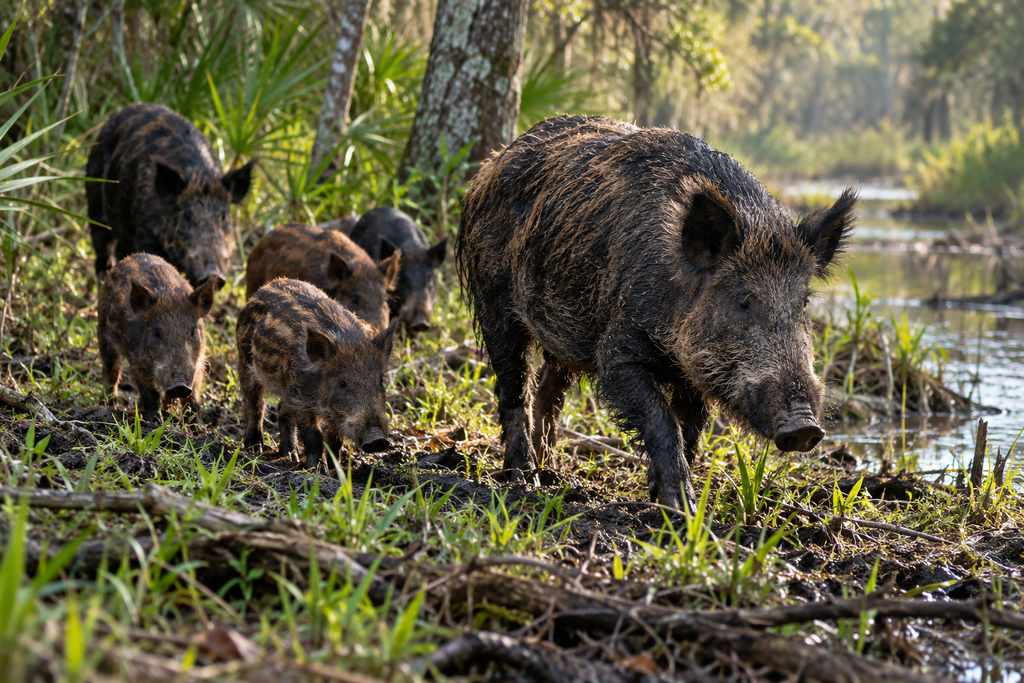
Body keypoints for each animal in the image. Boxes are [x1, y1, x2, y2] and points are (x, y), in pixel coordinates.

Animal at [86, 102, 256, 287]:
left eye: (223, 217)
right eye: (187, 215)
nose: (212, 274)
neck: (199, 176)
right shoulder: (145, 235)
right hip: (95, 207)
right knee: (102, 258)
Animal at [97, 253, 216, 425]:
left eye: (192, 333)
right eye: (156, 333)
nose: (179, 385)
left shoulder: (198, 363)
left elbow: (193, 398)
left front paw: (198, 427)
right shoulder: (136, 362)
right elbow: (150, 395)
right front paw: (155, 422)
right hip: (102, 331)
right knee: (111, 368)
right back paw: (109, 404)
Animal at [237, 278, 400, 468]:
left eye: (380, 381)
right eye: (342, 383)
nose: (377, 439)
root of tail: (262, 290)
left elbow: (336, 440)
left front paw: (336, 468)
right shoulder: (299, 399)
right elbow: (314, 436)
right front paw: (317, 469)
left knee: (281, 409)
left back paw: (290, 456)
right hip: (245, 360)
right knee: (254, 403)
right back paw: (255, 449)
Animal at [457, 115, 857, 512]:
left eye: (803, 302)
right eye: (743, 300)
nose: (805, 427)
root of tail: (490, 165)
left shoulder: (694, 375)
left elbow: (690, 430)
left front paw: (671, 501)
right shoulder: (617, 351)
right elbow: (661, 419)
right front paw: (680, 507)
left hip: (566, 329)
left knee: (548, 390)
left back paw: (551, 472)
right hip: (493, 301)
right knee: (513, 387)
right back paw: (524, 476)